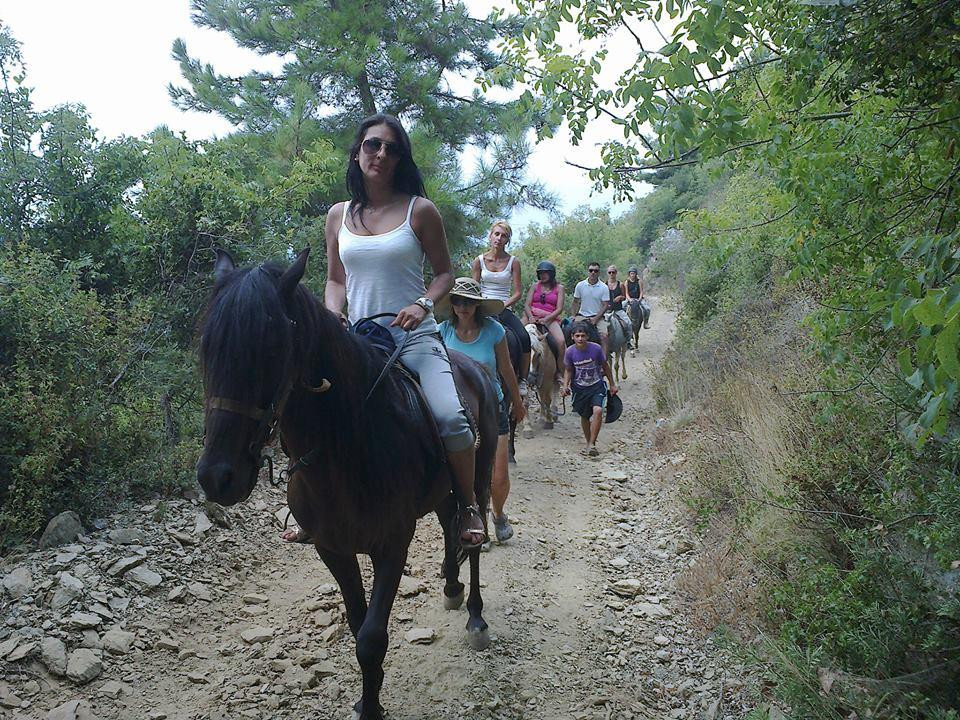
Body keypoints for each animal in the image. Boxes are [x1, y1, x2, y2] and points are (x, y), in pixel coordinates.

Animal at [193, 249, 496, 720]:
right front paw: (368, 698)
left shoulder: (392, 545)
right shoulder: (331, 547)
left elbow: (371, 638)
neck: (348, 443)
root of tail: (475, 368)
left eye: (272, 345)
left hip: (478, 474)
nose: (217, 476)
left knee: (473, 532)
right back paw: (451, 587)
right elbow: (357, 626)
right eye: (207, 347)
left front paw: (371, 706)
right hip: (442, 493)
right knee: (451, 523)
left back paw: (476, 617)